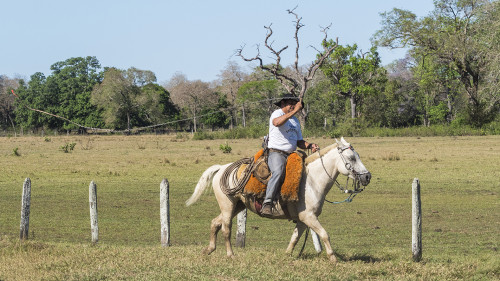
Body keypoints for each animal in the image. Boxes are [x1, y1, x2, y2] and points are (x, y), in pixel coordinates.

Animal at [186, 137, 370, 262]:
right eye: (352, 158)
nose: (367, 176)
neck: (312, 181)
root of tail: (221, 169)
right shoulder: (309, 217)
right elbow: (325, 234)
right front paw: (332, 258)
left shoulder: (303, 220)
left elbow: (295, 238)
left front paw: (287, 255)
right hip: (228, 205)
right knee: (226, 229)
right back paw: (230, 254)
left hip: (237, 206)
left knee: (215, 222)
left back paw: (209, 249)